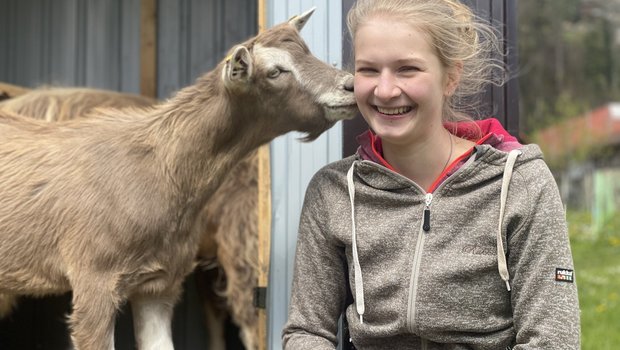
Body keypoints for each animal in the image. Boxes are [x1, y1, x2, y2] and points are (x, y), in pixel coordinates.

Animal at [0, 8, 356, 350]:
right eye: (275, 71)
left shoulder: (159, 282)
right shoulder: (94, 280)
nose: (349, 86)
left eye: (308, 51)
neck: (159, 168)